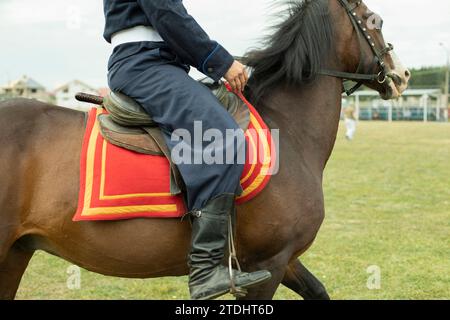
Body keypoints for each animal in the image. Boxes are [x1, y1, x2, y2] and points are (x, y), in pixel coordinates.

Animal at [0, 0, 410, 300]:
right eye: (376, 21)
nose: (402, 75)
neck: (288, 130)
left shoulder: (281, 260)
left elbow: (319, 290)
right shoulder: (267, 265)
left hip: (16, 253)